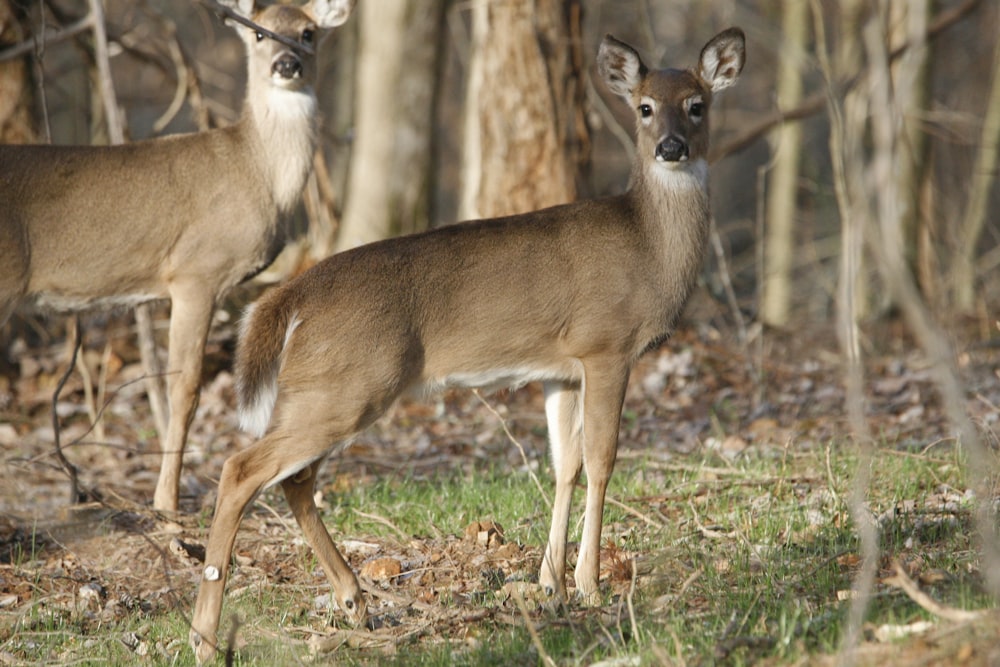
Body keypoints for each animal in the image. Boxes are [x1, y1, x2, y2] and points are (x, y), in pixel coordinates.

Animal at [0, 0, 358, 512]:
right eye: (260, 34)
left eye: (308, 33)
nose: (286, 64)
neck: (258, 172)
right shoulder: (196, 271)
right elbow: (185, 388)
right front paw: (166, 501)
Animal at [191, 26, 748, 664]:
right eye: (645, 107)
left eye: (698, 104)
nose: (672, 147)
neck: (649, 247)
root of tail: (291, 294)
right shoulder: (607, 344)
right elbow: (602, 460)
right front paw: (589, 585)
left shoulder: (562, 368)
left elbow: (565, 463)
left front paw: (550, 584)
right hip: (348, 386)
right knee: (242, 468)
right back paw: (206, 635)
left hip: (325, 388)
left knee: (294, 480)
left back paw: (354, 602)